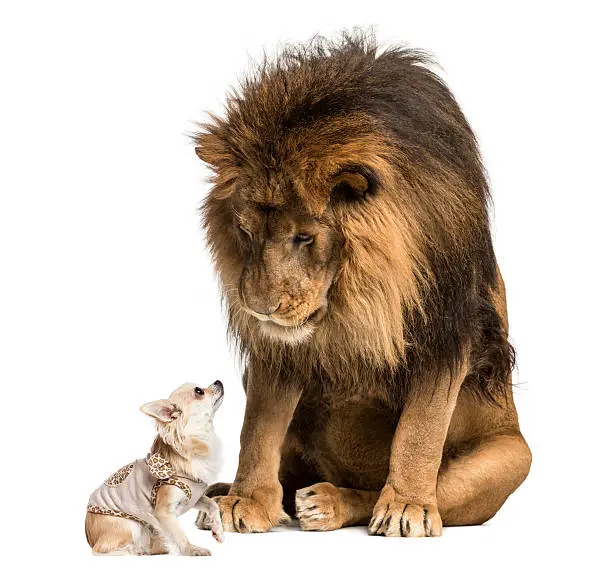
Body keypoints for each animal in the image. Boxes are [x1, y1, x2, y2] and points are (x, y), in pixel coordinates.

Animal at [192, 32, 532, 536]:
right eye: (245, 231)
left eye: (305, 237)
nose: (258, 308)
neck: (353, 294)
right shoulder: (277, 350)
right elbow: (258, 427)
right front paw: (247, 499)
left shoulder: (446, 332)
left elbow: (419, 431)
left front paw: (407, 507)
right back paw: (222, 495)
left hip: (511, 457)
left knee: (390, 490)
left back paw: (331, 503)